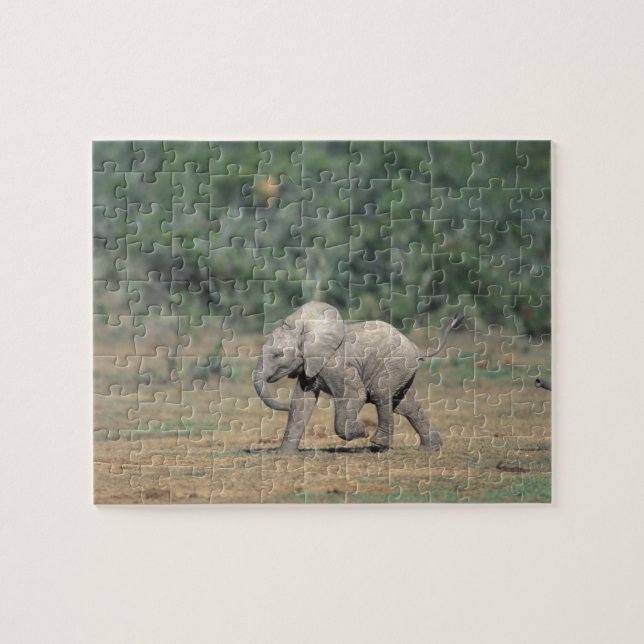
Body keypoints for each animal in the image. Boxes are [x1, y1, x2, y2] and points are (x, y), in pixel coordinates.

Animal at [252, 302, 463, 452]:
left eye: (277, 355)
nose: (283, 405)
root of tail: (415, 347)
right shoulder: (310, 364)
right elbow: (302, 402)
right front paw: (284, 455)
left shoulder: (335, 363)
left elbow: (355, 394)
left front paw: (361, 431)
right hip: (403, 369)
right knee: (406, 405)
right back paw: (431, 449)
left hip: (394, 363)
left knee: (381, 394)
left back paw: (378, 443)